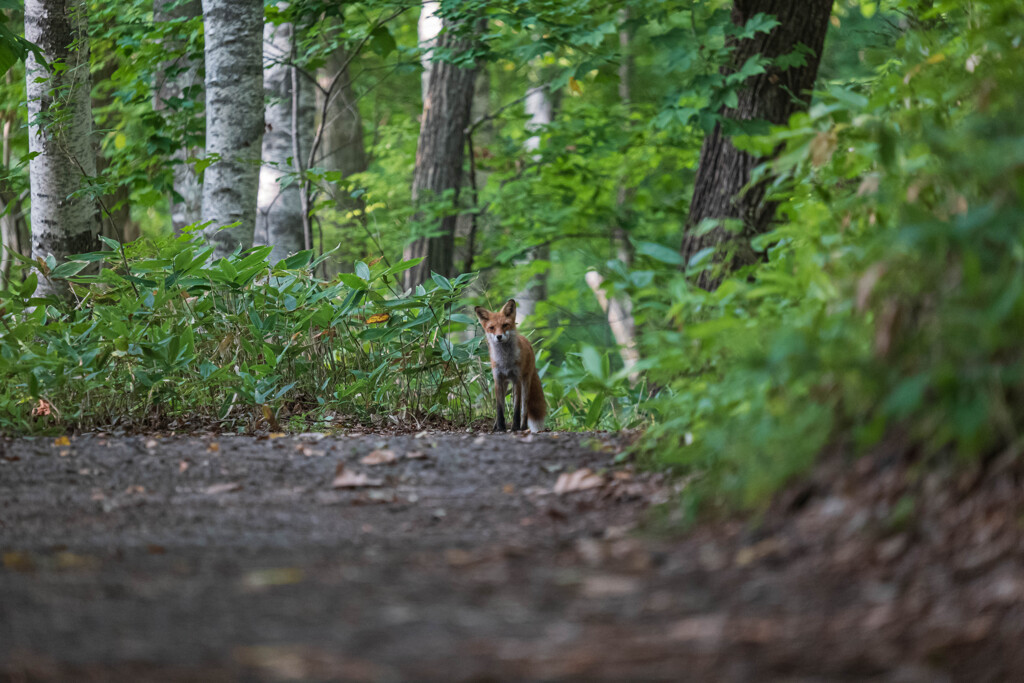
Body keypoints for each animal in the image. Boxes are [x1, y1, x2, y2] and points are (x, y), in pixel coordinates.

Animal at [475, 299, 548, 432]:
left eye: (505, 325)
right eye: (491, 328)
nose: (499, 336)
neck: (505, 361)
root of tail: (527, 341)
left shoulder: (516, 379)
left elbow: (516, 409)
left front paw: (515, 427)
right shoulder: (498, 379)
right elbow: (499, 409)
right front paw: (500, 427)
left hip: (525, 384)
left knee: (524, 409)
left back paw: (523, 427)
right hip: (505, 385)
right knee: (503, 406)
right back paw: (495, 426)